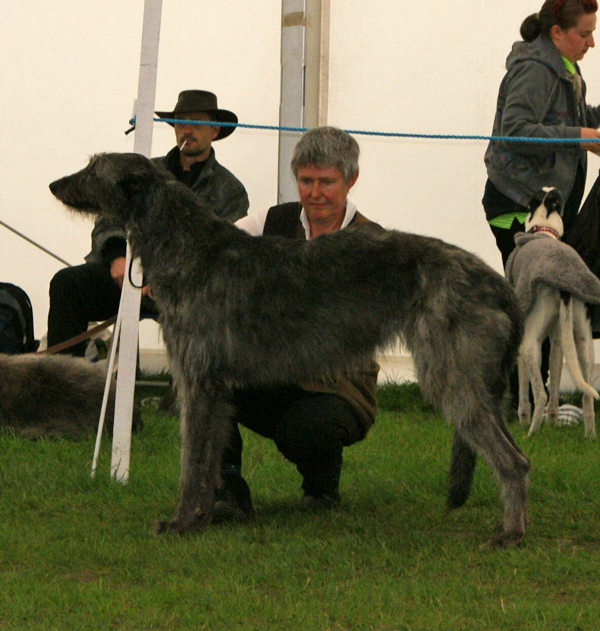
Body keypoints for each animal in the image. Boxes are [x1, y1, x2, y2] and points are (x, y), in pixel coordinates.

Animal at [50, 152, 528, 548]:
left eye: (93, 167)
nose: (54, 184)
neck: (189, 249)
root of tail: (497, 282)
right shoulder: (216, 389)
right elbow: (209, 460)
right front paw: (203, 517)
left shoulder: (198, 382)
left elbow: (191, 463)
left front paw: (180, 522)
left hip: (453, 374)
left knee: (515, 459)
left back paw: (510, 533)